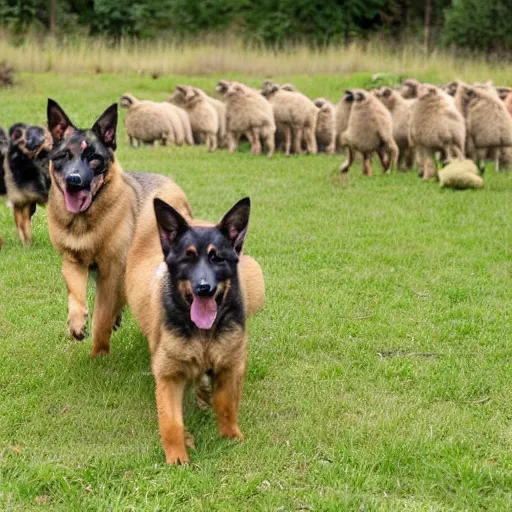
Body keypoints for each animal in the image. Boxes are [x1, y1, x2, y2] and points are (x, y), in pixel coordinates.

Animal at [45, 99, 190, 356]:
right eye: (64, 156)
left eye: (94, 159)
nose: (74, 181)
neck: (85, 222)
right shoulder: (73, 262)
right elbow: (75, 295)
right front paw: (76, 324)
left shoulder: (111, 272)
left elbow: (101, 316)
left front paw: (99, 354)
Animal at [126, 191, 266, 464]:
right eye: (187, 258)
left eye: (217, 258)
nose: (204, 288)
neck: (204, 336)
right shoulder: (168, 377)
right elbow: (171, 423)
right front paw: (177, 455)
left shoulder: (228, 368)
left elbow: (226, 406)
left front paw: (230, 436)